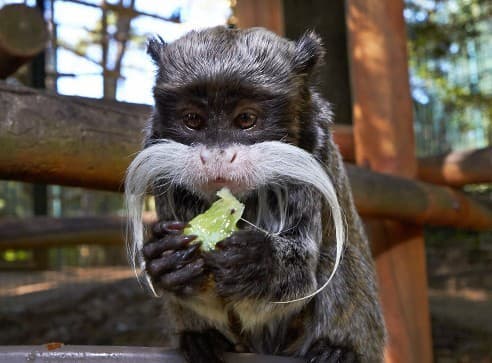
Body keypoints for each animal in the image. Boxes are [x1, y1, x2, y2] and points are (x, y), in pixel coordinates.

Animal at [125, 26, 386, 363]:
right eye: (193, 120)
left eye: (246, 119)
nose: (217, 157)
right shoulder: (157, 156)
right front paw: (173, 261)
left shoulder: (315, 148)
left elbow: (301, 280)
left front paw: (256, 264)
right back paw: (203, 339)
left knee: (338, 258)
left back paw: (337, 350)